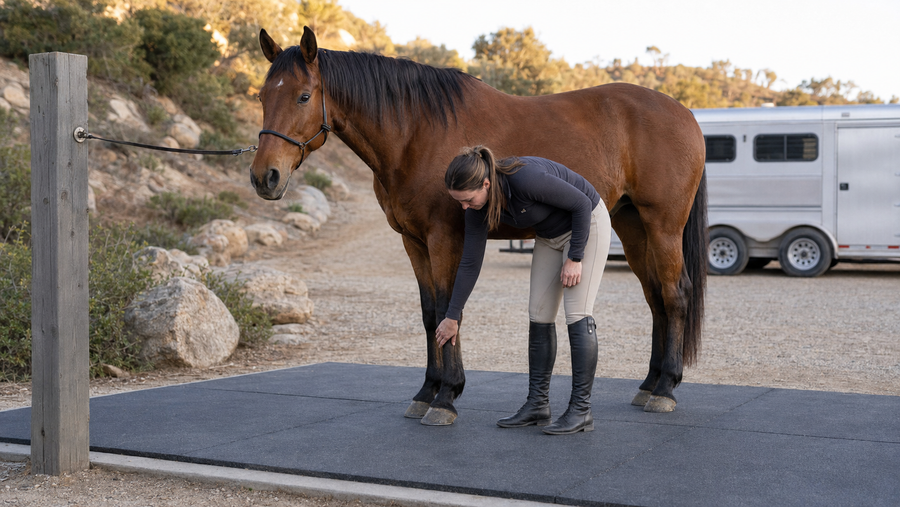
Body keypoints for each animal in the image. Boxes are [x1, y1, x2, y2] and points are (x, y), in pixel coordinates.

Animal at [250, 27, 708, 425]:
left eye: (303, 96)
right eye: (261, 96)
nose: (264, 177)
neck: (417, 132)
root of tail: (685, 113)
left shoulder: (445, 238)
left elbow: (449, 307)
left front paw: (447, 396)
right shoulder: (414, 242)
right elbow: (431, 315)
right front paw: (426, 392)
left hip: (663, 226)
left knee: (675, 294)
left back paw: (665, 389)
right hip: (632, 228)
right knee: (655, 299)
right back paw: (649, 384)